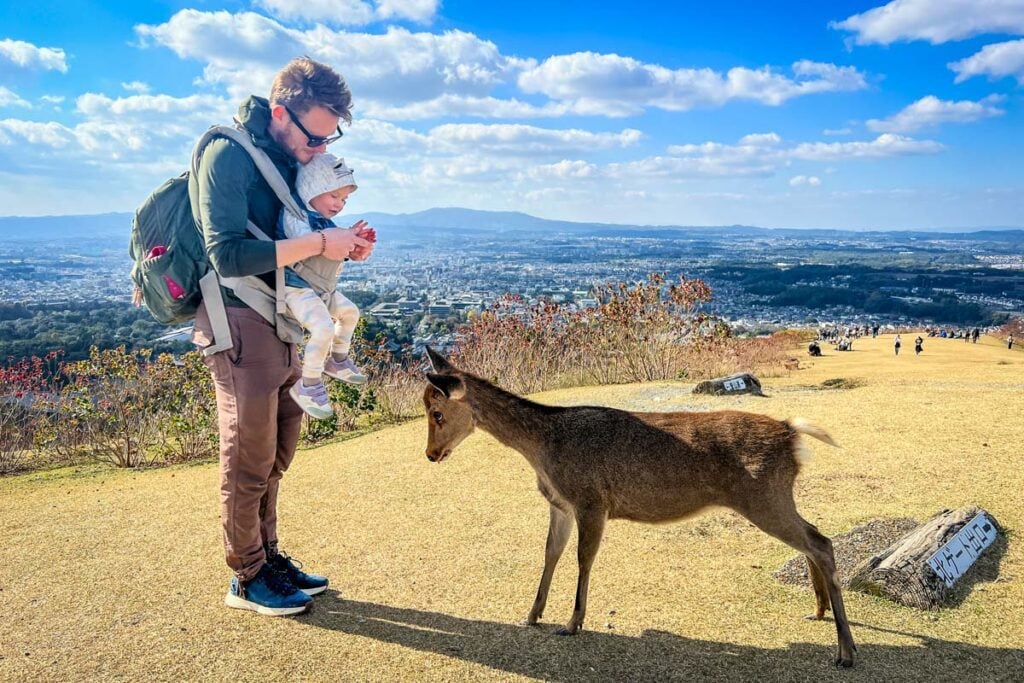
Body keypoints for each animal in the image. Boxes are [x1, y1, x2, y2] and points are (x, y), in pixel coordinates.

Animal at [419, 348, 860, 667]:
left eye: (437, 412)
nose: (430, 454)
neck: (542, 449)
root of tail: (792, 433)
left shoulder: (592, 499)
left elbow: (583, 558)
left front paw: (572, 623)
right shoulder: (559, 504)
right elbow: (550, 553)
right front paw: (531, 615)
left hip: (764, 496)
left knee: (820, 543)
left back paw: (845, 651)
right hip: (776, 496)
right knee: (814, 536)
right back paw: (819, 612)